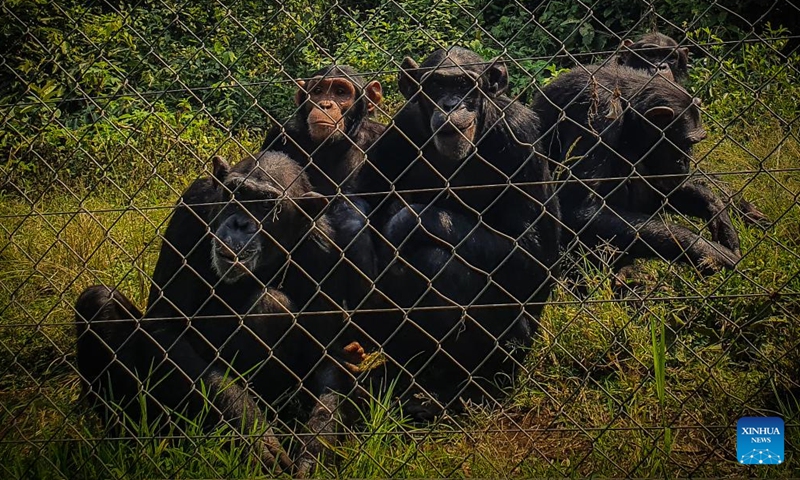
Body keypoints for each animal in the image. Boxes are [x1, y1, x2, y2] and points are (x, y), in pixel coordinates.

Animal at [76, 152, 366, 474]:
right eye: (237, 193)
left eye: (265, 205)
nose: (240, 223)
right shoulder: (190, 208)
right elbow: (167, 326)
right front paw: (252, 430)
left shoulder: (325, 246)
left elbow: (328, 356)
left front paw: (316, 449)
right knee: (98, 302)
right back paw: (127, 443)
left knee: (270, 302)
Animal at [356, 47, 564, 418]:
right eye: (437, 85)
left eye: (465, 85)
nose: (452, 104)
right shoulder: (399, 130)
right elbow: (358, 204)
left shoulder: (521, 135)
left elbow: (534, 254)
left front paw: (405, 221)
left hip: (518, 344)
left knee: (433, 263)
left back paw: (472, 388)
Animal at [536, 63, 740, 274]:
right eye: (686, 143)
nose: (686, 160)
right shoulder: (595, 118)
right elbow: (579, 209)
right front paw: (706, 250)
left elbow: (665, 190)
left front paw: (717, 212)